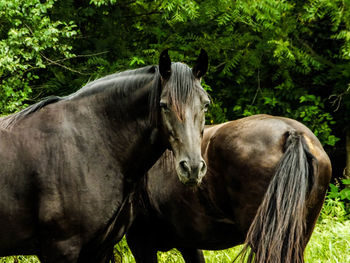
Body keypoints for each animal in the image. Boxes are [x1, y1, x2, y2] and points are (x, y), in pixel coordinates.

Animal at [0, 50, 209, 262]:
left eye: (205, 104)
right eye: (164, 105)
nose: (192, 168)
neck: (91, 144)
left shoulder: (100, 249)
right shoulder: (61, 248)